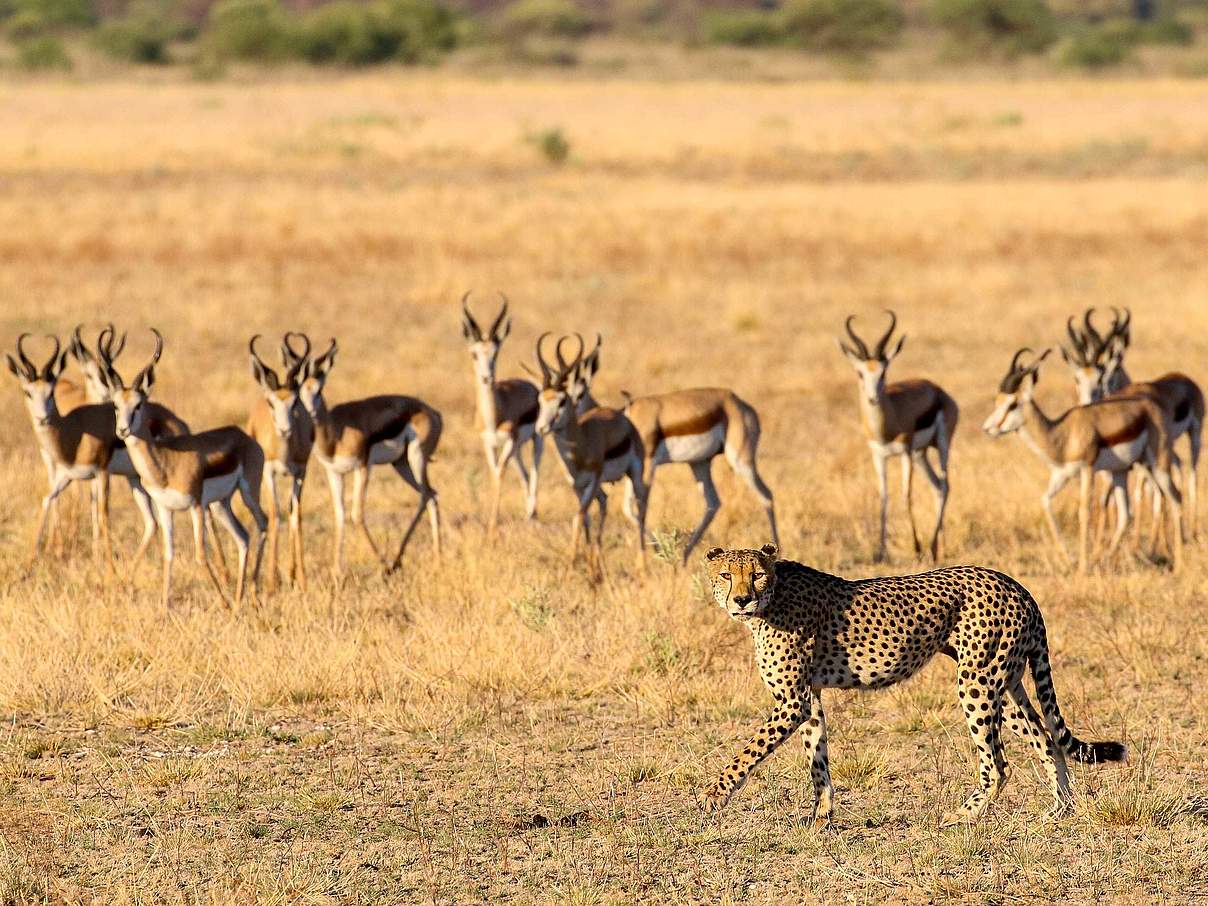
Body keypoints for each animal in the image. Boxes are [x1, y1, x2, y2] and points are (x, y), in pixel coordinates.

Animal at [705, 543, 1125, 826]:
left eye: (756, 574)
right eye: (726, 575)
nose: (741, 600)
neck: (773, 597)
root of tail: (1014, 584)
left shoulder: (793, 701)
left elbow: (748, 753)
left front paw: (714, 794)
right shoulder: (808, 699)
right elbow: (817, 758)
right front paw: (821, 815)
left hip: (977, 682)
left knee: (999, 764)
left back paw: (963, 816)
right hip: (1004, 684)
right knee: (1046, 736)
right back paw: (1060, 809)